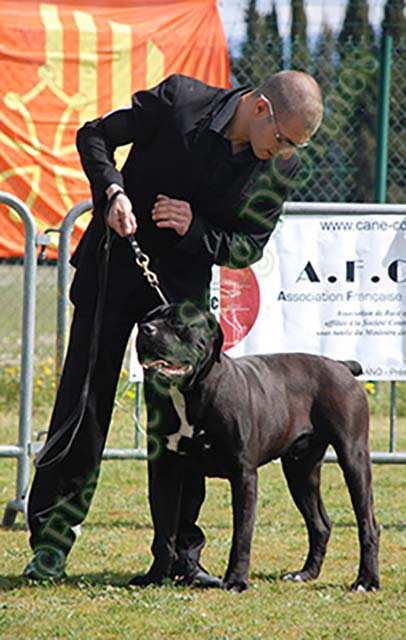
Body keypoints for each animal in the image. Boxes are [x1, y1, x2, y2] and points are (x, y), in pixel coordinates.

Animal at [136, 302, 380, 592]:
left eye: (177, 323)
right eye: (147, 318)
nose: (145, 329)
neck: (188, 393)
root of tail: (341, 366)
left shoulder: (244, 475)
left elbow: (242, 533)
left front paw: (236, 580)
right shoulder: (164, 471)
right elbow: (164, 531)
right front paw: (154, 577)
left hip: (353, 458)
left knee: (368, 524)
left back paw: (366, 581)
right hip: (301, 470)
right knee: (320, 524)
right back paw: (305, 574)